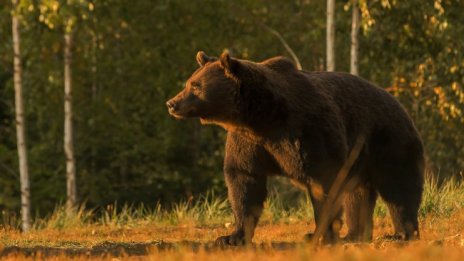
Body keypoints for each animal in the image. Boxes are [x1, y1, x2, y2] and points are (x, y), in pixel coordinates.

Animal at [166, 50, 424, 244]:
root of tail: (397, 102)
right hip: (360, 157)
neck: (262, 118)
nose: (172, 103)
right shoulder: (248, 142)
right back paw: (355, 234)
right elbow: (244, 181)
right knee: (358, 193)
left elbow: (324, 182)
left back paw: (401, 233)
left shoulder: (307, 131)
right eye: (189, 83)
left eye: (196, 86)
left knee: (398, 185)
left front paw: (319, 234)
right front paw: (231, 237)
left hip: (388, 140)